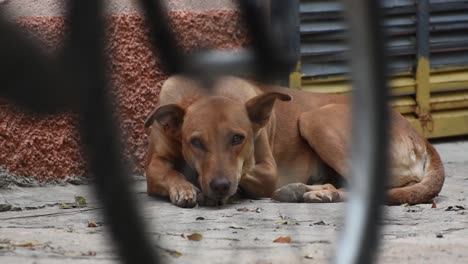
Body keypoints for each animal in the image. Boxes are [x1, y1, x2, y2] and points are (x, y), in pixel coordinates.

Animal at [144, 75, 444, 207]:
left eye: (238, 138)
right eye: (195, 142)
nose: (219, 186)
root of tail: (419, 135)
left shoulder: (266, 171)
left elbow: (247, 174)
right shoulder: (154, 165)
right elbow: (167, 172)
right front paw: (183, 187)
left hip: (315, 119)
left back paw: (313, 192)